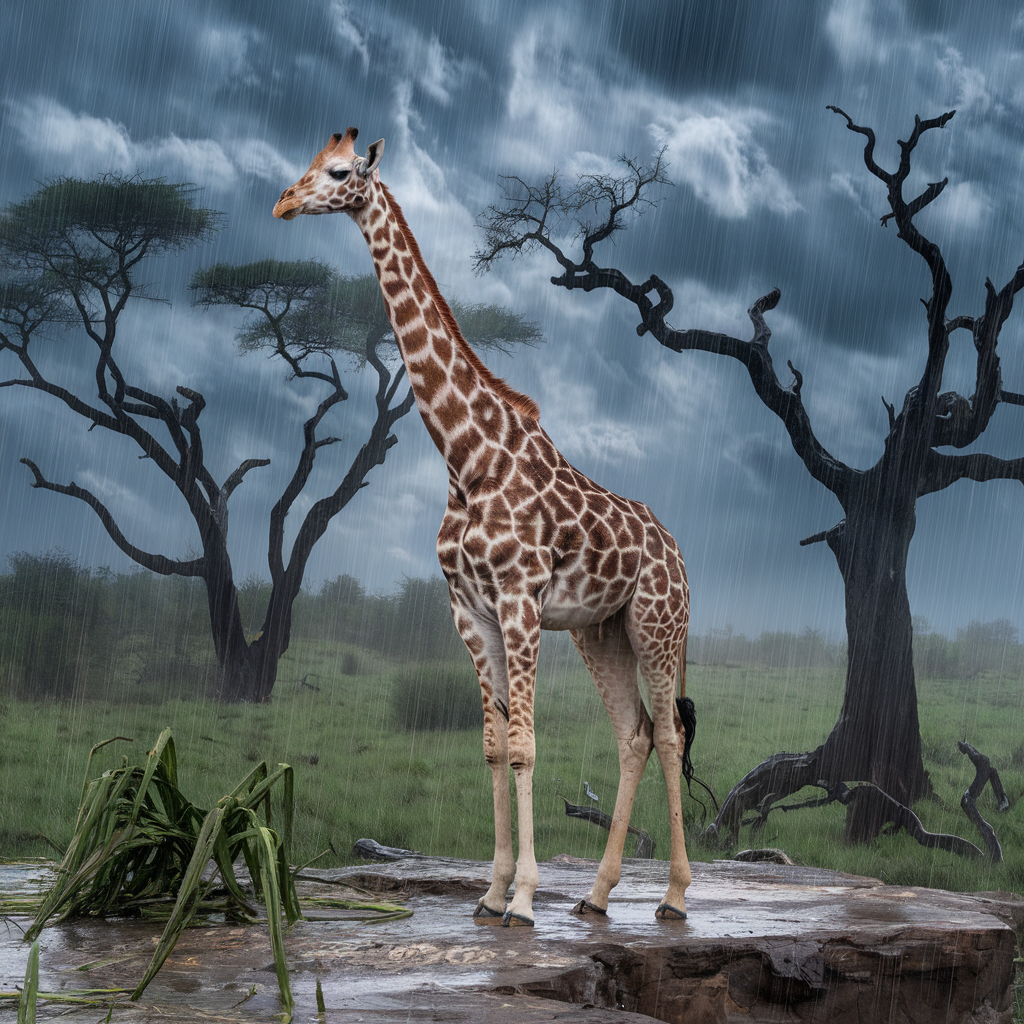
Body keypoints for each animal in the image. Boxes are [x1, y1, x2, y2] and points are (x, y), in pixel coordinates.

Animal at [273, 128, 694, 927]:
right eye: (307, 165)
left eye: (338, 173)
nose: (282, 204)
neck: (466, 457)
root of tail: (681, 555)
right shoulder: (469, 608)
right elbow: (495, 747)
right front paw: (491, 891)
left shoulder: (520, 599)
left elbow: (526, 745)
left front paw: (524, 899)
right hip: (601, 633)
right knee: (634, 735)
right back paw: (596, 895)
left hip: (658, 626)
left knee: (672, 733)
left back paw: (676, 895)